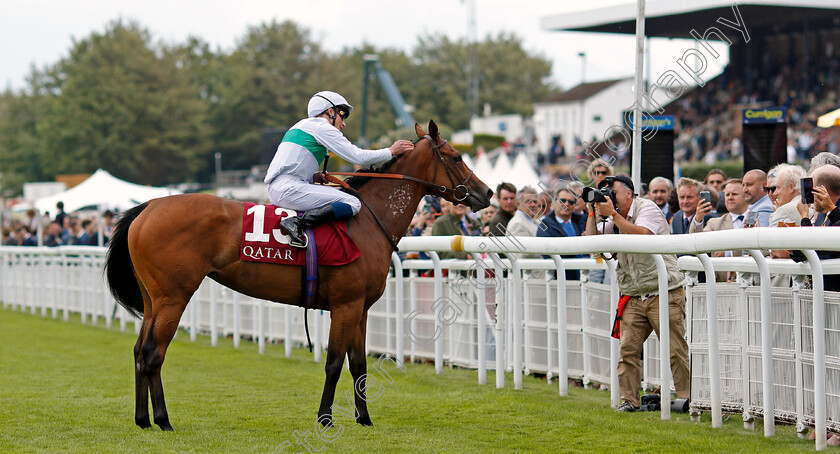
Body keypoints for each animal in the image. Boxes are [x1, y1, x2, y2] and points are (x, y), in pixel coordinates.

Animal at [107, 119, 496, 430]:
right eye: (457, 157)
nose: (487, 192)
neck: (369, 220)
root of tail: (147, 207)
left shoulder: (362, 309)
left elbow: (358, 364)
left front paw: (365, 418)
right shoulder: (345, 305)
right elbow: (334, 363)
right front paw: (325, 418)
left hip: (153, 299)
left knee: (140, 350)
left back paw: (142, 420)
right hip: (174, 296)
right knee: (154, 352)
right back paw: (162, 420)